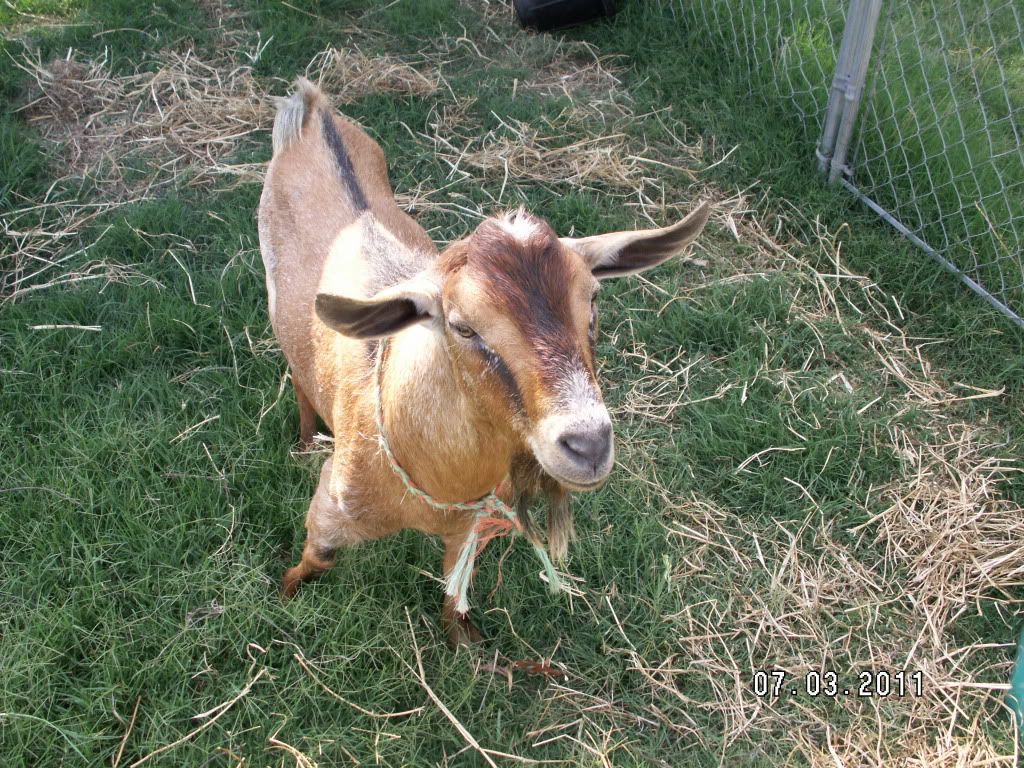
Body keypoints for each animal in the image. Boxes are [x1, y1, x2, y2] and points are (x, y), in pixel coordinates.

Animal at [258, 79, 710, 647]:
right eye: (463, 325)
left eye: (594, 300)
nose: (588, 445)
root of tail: (314, 110)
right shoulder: (329, 510)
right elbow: (314, 562)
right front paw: (284, 595)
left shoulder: (468, 523)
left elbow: (455, 595)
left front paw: (466, 644)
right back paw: (302, 440)